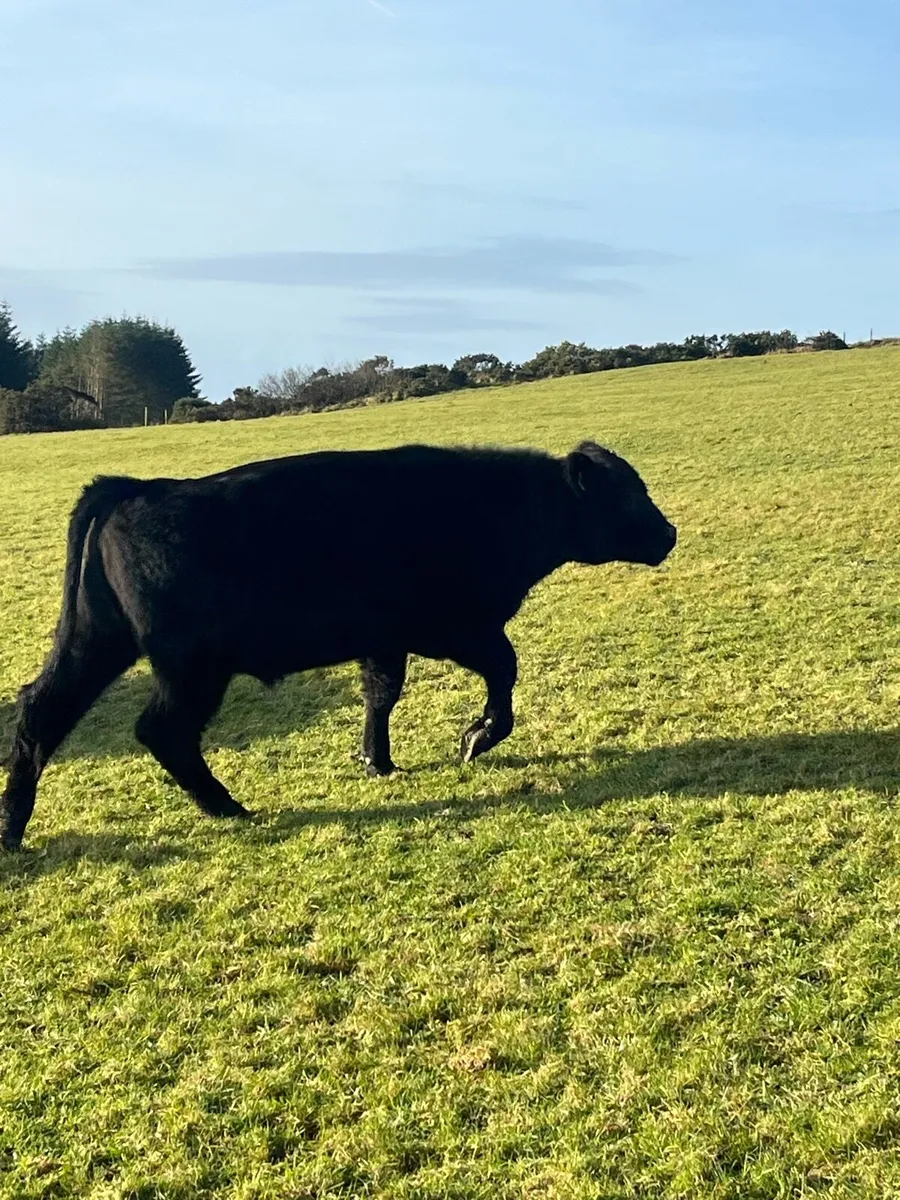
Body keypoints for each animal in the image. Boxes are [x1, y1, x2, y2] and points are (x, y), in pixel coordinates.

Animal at [0, 441, 676, 850]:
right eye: (628, 493)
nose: (669, 532)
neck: (497, 505)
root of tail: (137, 486)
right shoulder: (457, 628)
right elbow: (503, 672)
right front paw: (476, 737)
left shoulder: (387, 640)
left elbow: (382, 694)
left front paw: (377, 760)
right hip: (192, 666)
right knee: (161, 730)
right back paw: (228, 808)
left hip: (97, 642)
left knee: (40, 711)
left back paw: (13, 830)